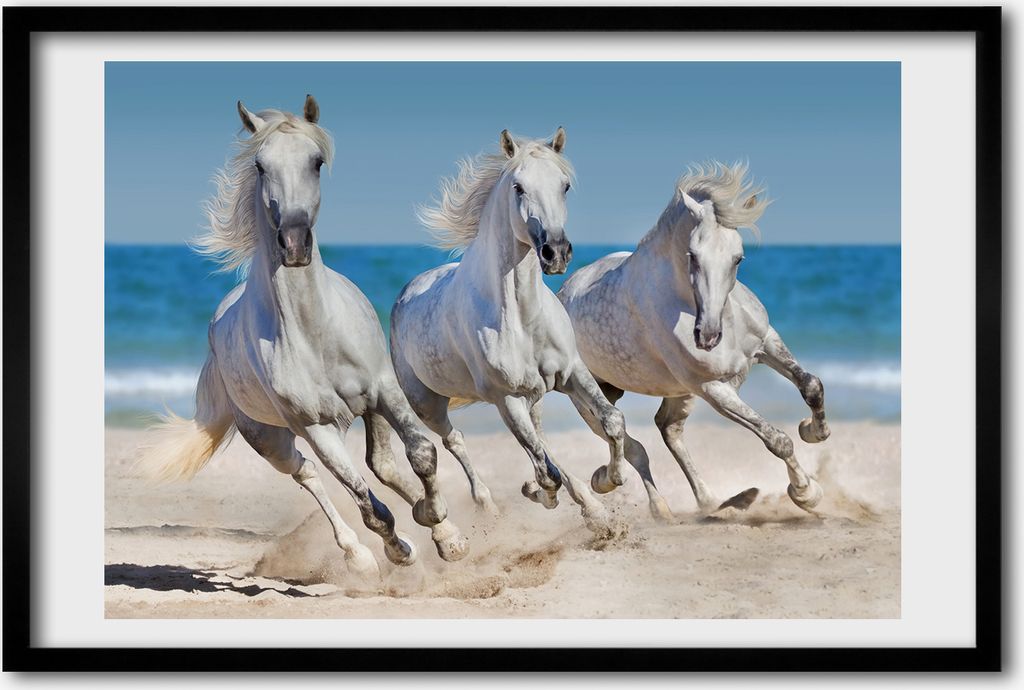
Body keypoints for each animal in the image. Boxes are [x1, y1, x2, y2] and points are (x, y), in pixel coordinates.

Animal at [137, 96, 469, 582]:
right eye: (259, 165)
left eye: (316, 162)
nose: (294, 244)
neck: (315, 333)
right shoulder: (314, 427)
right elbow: (368, 506)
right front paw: (399, 550)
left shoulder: (384, 390)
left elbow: (421, 453)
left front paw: (447, 536)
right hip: (271, 439)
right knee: (307, 474)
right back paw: (359, 555)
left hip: (364, 411)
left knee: (382, 466)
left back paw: (432, 521)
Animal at [389, 129, 633, 533]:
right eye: (518, 187)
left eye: (565, 185)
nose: (556, 252)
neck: (521, 316)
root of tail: (406, 292)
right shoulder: (506, 398)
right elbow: (546, 472)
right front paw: (544, 494)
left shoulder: (572, 372)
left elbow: (611, 422)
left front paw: (604, 482)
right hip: (429, 405)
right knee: (456, 441)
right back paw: (488, 504)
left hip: (533, 395)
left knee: (541, 439)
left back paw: (588, 504)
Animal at [558, 162, 829, 518]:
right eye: (693, 255)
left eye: (738, 258)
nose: (708, 336)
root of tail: (563, 292)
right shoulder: (712, 388)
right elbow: (776, 439)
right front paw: (806, 493)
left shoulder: (767, 343)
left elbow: (811, 385)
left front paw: (814, 430)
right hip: (590, 396)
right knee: (630, 444)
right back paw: (633, 496)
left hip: (670, 391)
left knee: (668, 428)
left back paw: (711, 501)